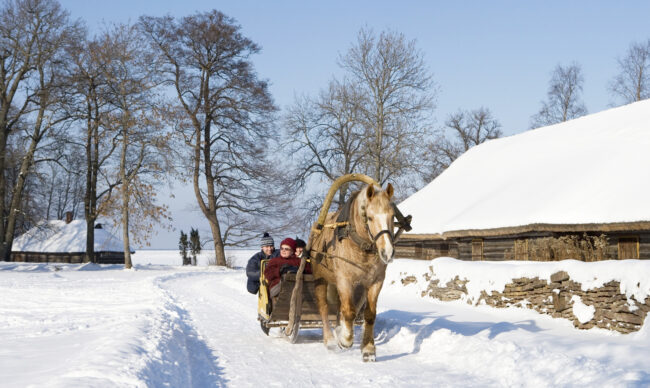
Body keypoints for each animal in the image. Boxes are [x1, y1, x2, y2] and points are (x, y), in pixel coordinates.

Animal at [308, 183, 394, 362]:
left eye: (392, 216)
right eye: (370, 217)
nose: (387, 252)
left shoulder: (375, 281)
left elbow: (369, 314)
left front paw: (368, 349)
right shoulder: (344, 279)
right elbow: (349, 312)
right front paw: (345, 340)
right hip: (321, 279)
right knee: (324, 307)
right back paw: (330, 339)